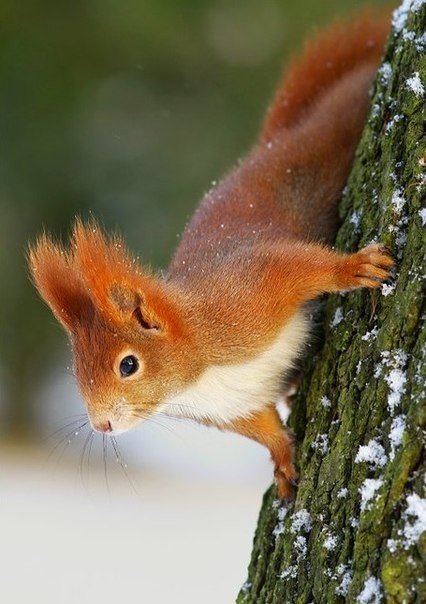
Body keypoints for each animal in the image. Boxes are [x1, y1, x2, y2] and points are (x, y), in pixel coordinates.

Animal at [29, 10, 393, 499]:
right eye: (75, 368)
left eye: (128, 364)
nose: (100, 424)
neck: (199, 376)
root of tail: (274, 142)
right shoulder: (234, 407)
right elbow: (262, 427)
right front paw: (282, 461)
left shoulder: (246, 294)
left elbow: (298, 267)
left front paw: (354, 267)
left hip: (334, 129)